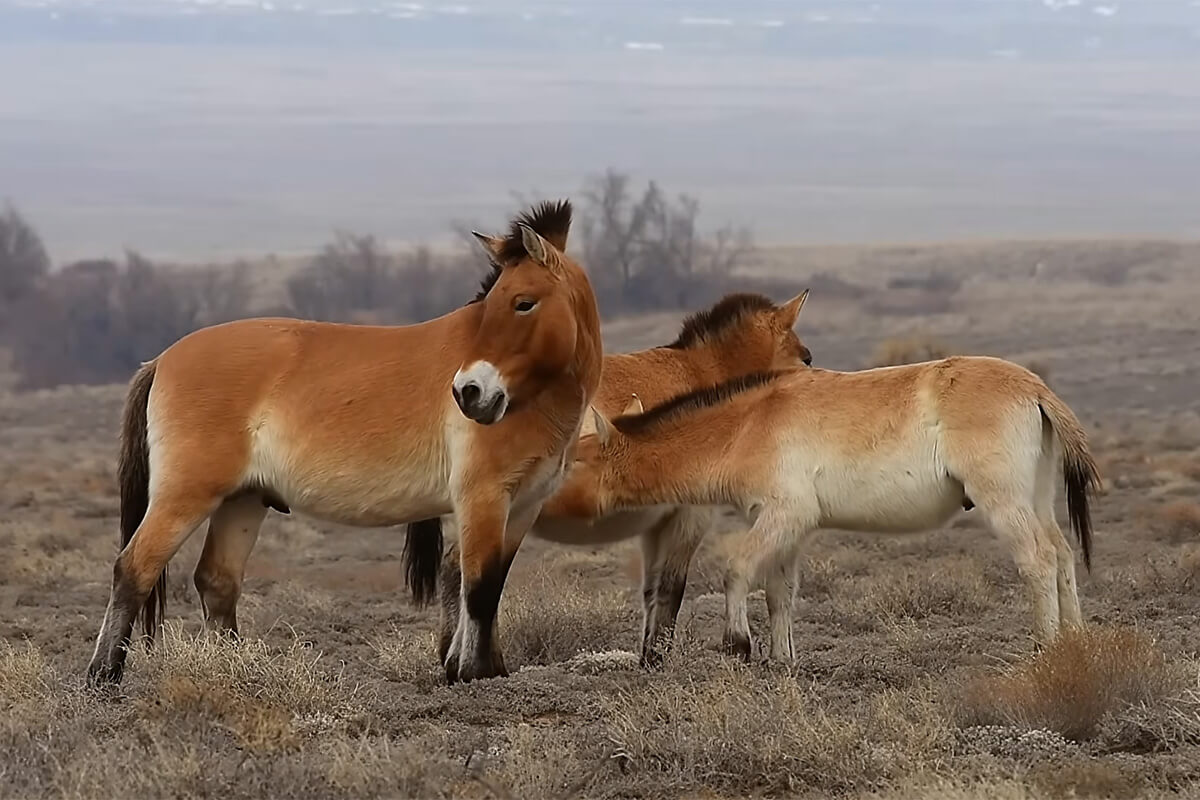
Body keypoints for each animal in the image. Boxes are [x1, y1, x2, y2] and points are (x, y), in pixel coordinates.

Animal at [86, 199, 603, 687]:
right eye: (494, 304)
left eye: (523, 303)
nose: (469, 393)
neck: (531, 396)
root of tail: (161, 359)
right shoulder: (484, 498)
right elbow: (478, 584)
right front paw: (473, 674)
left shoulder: (523, 505)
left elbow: (482, 582)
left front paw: (480, 668)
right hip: (185, 496)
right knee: (134, 568)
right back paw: (103, 677)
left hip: (242, 500)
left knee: (217, 582)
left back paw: (234, 670)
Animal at [403, 290, 814, 668]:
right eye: (806, 357)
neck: (700, 374)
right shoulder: (690, 517)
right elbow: (672, 586)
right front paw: (659, 658)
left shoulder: (657, 521)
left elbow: (653, 589)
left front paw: (650, 656)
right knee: (462, 572)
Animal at [548, 355, 1101, 660]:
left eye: (574, 462)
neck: (749, 423)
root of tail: (1035, 388)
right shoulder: (787, 528)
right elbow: (779, 592)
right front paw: (781, 660)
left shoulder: (782, 517)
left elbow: (736, 569)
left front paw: (738, 643)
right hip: (1036, 500)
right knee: (1061, 554)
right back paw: (1074, 642)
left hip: (1003, 503)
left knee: (1037, 559)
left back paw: (1046, 648)